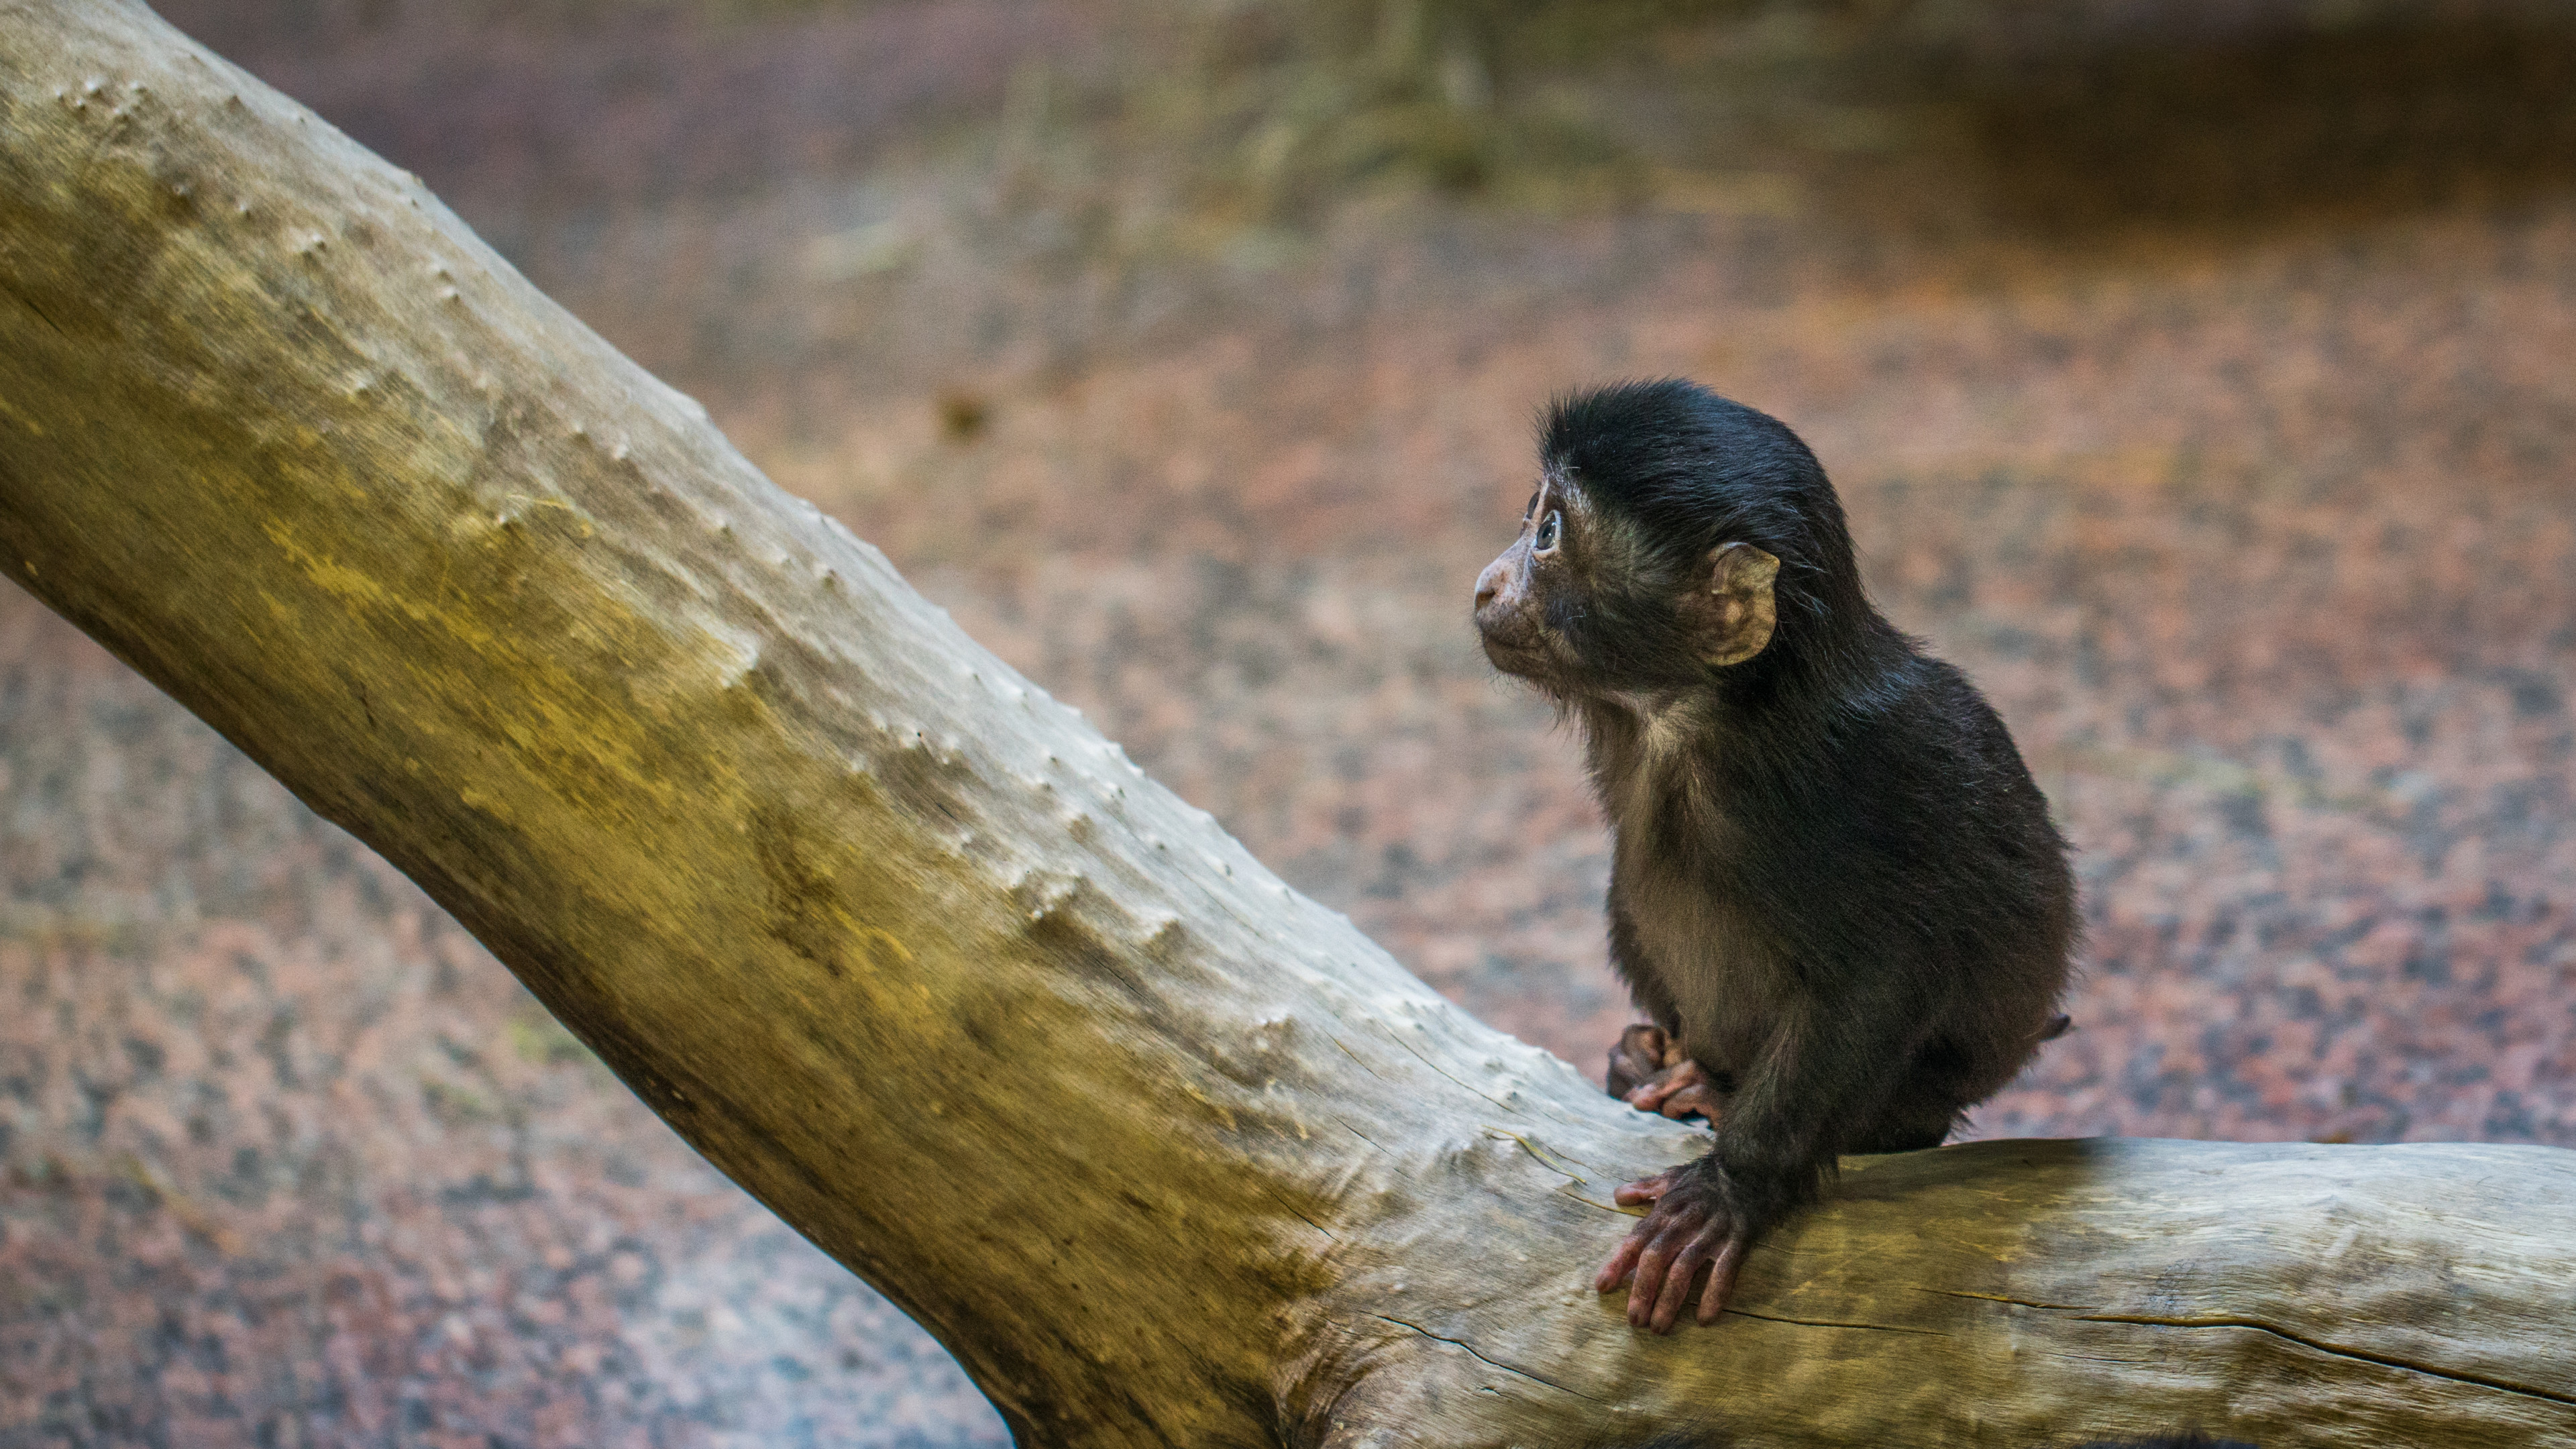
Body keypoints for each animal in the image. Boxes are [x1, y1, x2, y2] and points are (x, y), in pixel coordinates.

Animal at [1472, 379, 2078, 1334]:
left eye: (1550, 533)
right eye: (1532, 514)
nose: (1486, 583)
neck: (1698, 717)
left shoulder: (1826, 786)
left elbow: (1885, 974)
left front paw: (1733, 1186)